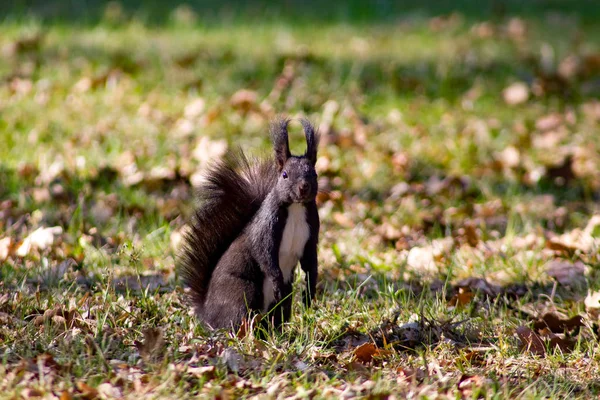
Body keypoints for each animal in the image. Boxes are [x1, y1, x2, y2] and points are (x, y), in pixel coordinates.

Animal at [177, 117, 322, 330]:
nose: (304, 187)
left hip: (283, 300)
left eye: (315, 174)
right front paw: (277, 281)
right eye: (285, 174)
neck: (296, 208)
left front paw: (310, 292)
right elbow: (265, 255)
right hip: (242, 293)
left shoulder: (311, 234)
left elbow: (310, 262)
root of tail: (207, 314)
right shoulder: (266, 228)